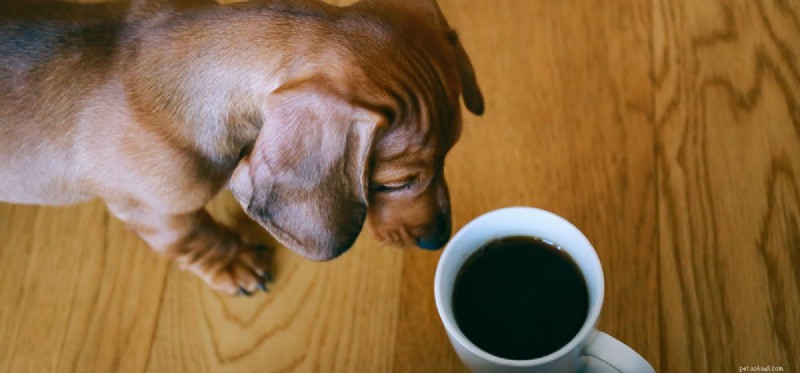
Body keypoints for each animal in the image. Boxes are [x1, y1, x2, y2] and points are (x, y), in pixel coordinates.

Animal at [0, 0, 482, 294]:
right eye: (392, 184)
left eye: (452, 152)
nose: (439, 238)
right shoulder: (155, 210)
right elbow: (194, 236)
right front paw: (233, 263)